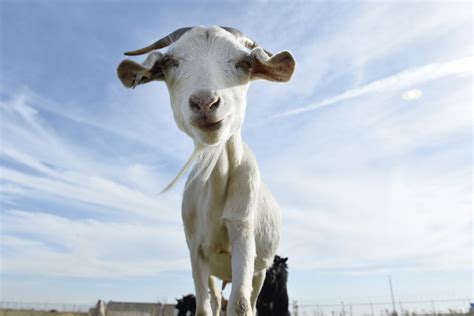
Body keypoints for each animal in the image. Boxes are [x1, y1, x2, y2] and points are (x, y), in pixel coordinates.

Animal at [118, 25, 294, 316]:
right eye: (170, 62)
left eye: (244, 62)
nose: (205, 102)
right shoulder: (195, 249)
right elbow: (203, 308)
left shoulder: (243, 231)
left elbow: (241, 304)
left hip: (260, 270)